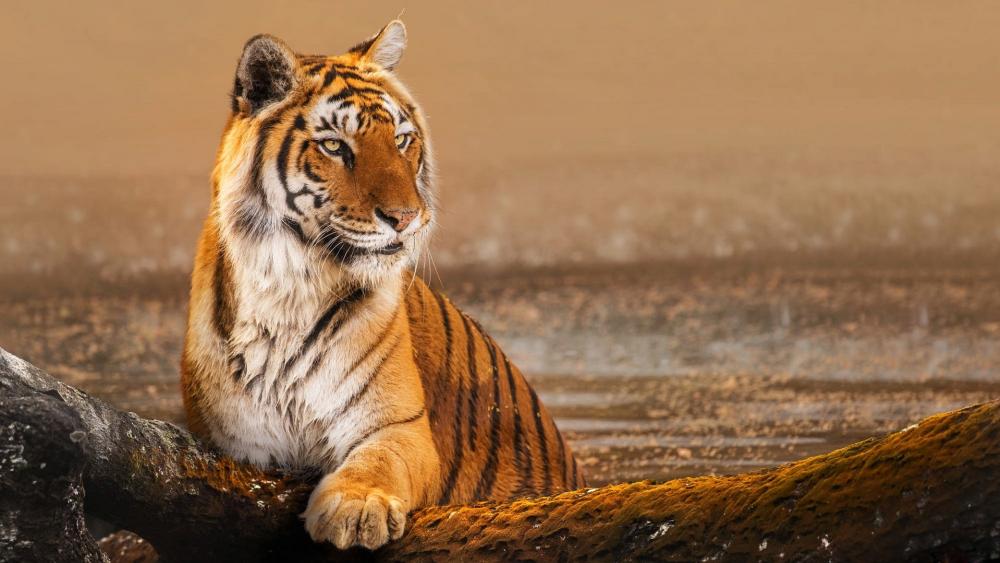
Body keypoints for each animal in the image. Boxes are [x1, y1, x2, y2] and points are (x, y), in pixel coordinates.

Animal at [180, 20, 583, 551]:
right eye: (334, 146)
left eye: (402, 140)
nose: (407, 218)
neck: (288, 290)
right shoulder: (235, 443)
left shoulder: (401, 426)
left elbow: (379, 460)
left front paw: (356, 507)